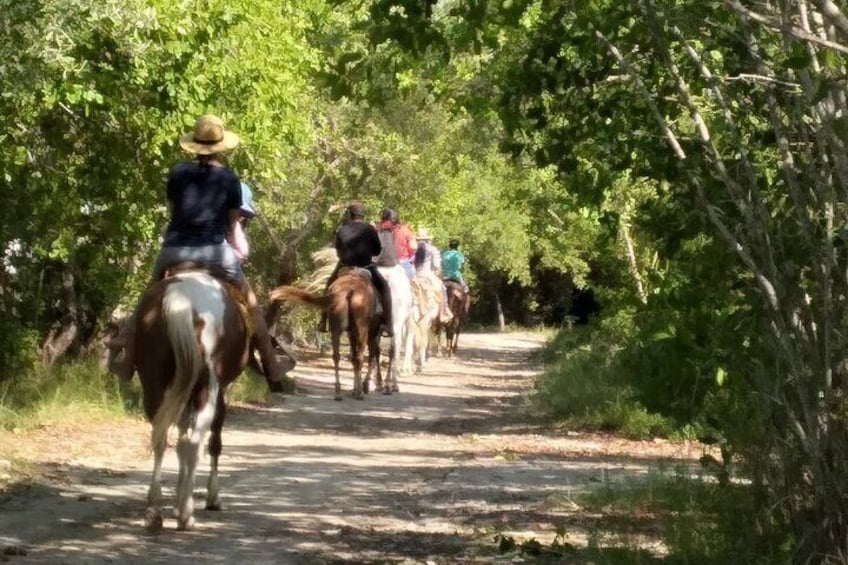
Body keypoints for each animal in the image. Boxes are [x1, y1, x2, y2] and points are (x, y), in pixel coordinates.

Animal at [134, 270, 250, 532]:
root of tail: (182, 296)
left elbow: (178, 439)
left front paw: (176, 501)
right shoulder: (222, 390)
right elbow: (214, 440)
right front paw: (211, 498)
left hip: (153, 381)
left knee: (161, 436)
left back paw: (154, 509)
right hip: (208, 385)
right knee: (195, 441)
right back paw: (186, 514)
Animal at [272, 268, 380, 396]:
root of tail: (348, 289)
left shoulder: (352, 332)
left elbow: (355, 357)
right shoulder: (365, 331)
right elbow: (366, 355)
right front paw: (361, 387)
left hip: (337, 325)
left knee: (338, 355)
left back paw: (339, 391)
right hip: (362, 328)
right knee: (362, 356)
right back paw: (359, 392)